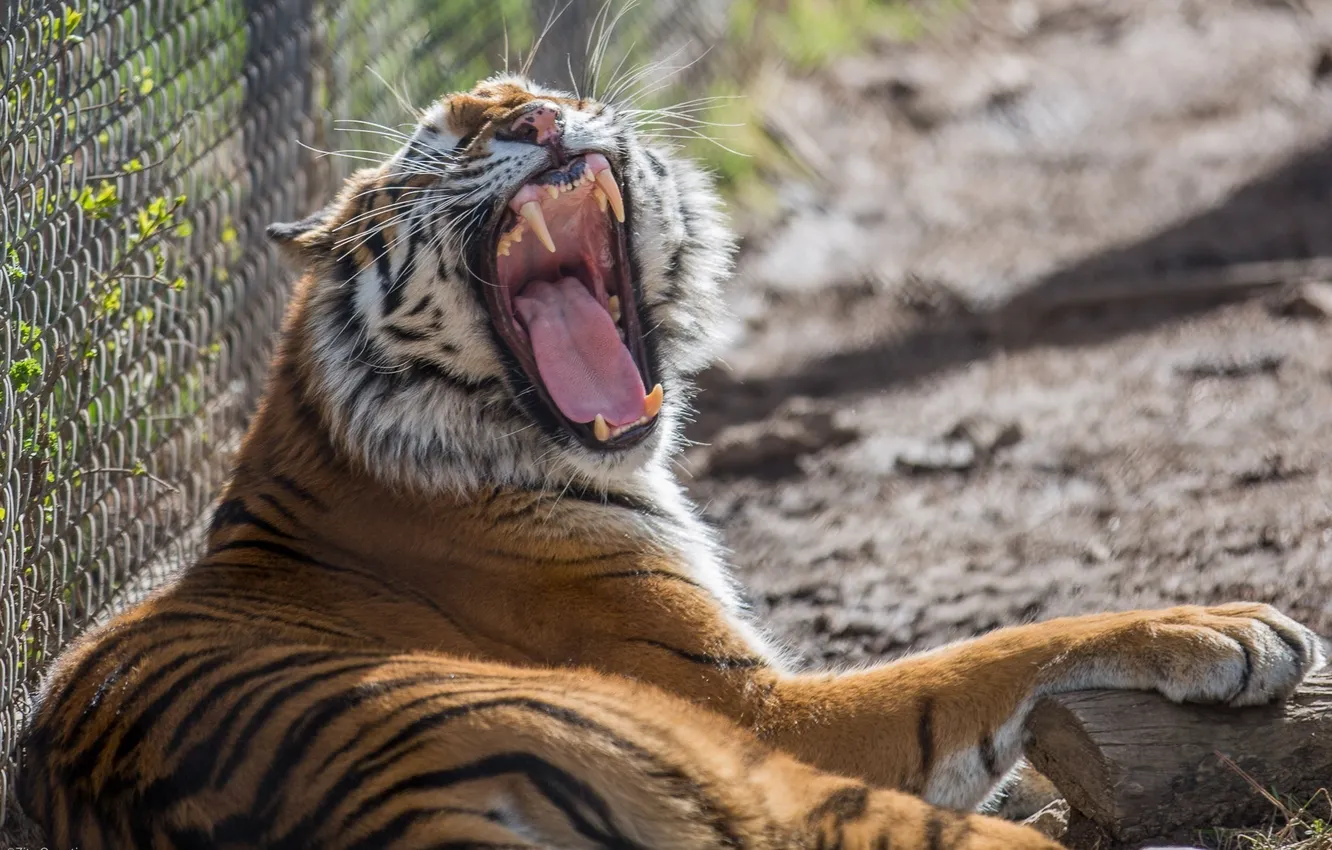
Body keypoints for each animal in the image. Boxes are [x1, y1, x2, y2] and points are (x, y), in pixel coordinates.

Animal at [18, 74, 1324, 850]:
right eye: (444, 144)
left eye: (540, 96)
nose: (533, 122)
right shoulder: (757, 706)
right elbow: (996, 649)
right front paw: (1232, 627)